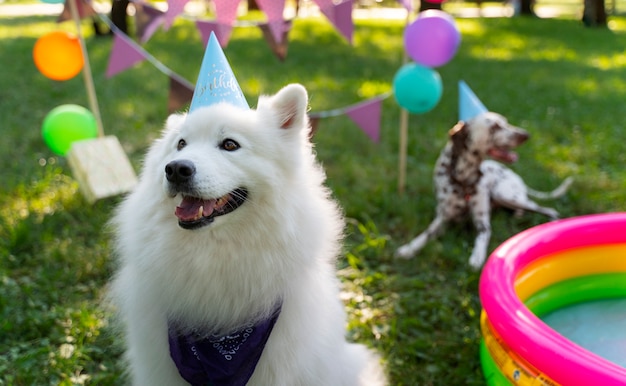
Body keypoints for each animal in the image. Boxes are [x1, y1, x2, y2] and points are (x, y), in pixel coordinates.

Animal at [394, 111, 572, 268]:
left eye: (505, 122)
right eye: (495, 126)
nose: (525, 134)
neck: (464, 180)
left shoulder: (483, 224)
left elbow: (482, 238)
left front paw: (476, 257)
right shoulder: (443, 217)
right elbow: (427, 233)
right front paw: (408, 248)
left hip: (506, 195)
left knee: (548, 209)